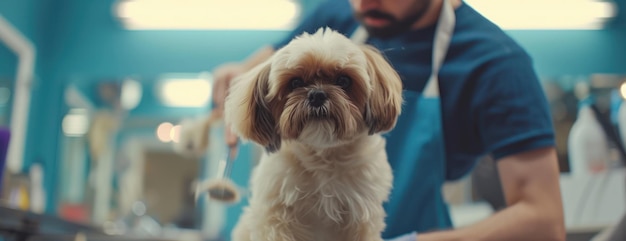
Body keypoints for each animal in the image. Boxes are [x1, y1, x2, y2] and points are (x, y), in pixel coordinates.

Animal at [222, 27, 402, 241]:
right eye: (295, 82)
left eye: (344, 80)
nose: (317, 94)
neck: (323, 157)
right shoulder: (276, 218)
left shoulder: (360, 217)